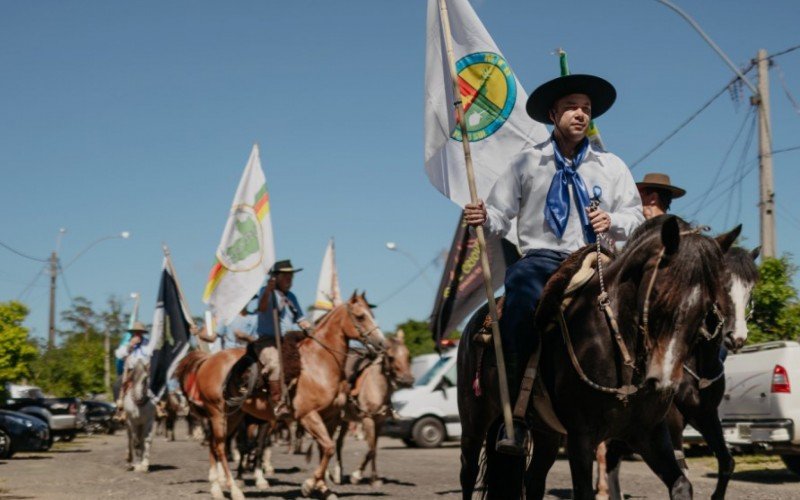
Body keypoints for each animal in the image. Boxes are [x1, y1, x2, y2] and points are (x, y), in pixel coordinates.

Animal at [176, 292, 388, 500]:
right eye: (360, 316)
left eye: (371, 314)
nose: (382, 344)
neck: (320, 363)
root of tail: (208, 360)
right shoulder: (308, 415)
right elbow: (328, 447)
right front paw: (308, 486)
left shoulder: (332, 417)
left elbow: (325, 449)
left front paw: (323, 489)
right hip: (217, 412)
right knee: (220, 447)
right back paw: (234, 490)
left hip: (233, 415)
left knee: (214, 444)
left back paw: (216, 490)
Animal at [328, 330, 416, 486]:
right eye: (391, 357)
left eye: (408, 355)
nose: (407, 381)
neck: (376, 386)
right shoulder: (368, 419)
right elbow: (371, 449)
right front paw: (356, 476)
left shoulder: (379, 422)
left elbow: (374, 449)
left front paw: (374, 479)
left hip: (345, 420)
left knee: (338, 443)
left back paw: (338, 474)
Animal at [456, 216, 736, 500]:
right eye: (660, 294)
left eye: (708, 305)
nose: (665, 381)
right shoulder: (581, 438)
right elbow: (584, 490)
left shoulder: (649, 434)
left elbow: (681, 483)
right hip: (474, 421)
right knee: (468, 472)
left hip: (546, 433)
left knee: (533, 478)